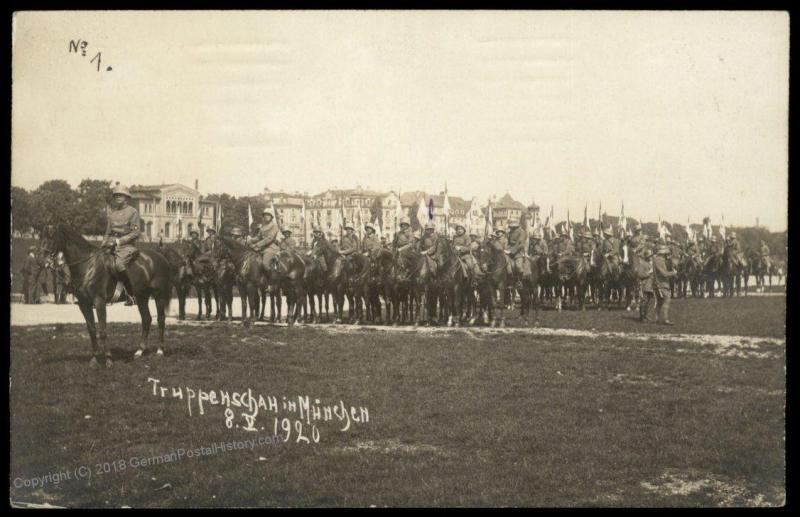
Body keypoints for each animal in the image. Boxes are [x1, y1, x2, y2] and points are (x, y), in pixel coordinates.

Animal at [39, 224, 173, 364]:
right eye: (41, 237)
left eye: (51, 237)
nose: (41, 261)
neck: (88, 266)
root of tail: (161, 257)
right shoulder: (84, 304)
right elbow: (92, 330)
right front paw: (94, 358)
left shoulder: (99, 302)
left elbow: (102, 330)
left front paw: (108, 359)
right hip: (142, 297)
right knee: (146, 319)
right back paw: (139, 351)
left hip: (159, 295)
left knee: (161, 319)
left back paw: (160, 350)